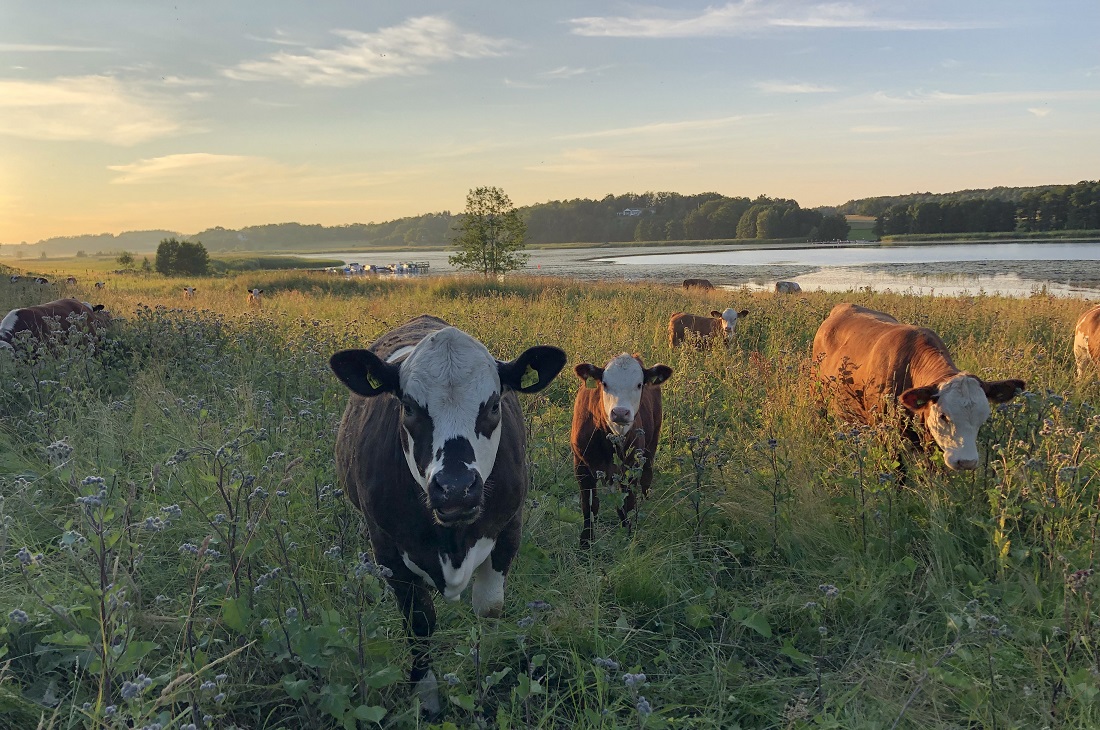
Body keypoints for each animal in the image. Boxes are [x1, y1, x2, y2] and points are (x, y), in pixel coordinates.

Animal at [325, 314, 567, 712]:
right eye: (408, 407)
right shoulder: (387, 548)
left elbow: (489, 608)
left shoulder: (509, 528)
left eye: (494, 405)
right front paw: (426, 695)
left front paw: (486, 672)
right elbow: (419, 622)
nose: (455, 487)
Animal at [572, 354, 673, 547]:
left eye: (639, 384)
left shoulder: (631, 466)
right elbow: (589, 506)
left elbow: (627, 504)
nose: (620, 412)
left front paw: (628, 536)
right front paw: (586, 542)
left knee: (646, 477)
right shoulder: (581, 465)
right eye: (604, 384)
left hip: (652, 442)